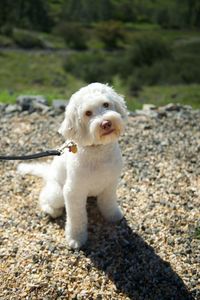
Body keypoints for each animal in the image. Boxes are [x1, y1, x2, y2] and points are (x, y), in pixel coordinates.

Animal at [18, 82, 128, 248]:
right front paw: (76, 238)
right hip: (57, 193)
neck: (98, 151)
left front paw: (113, 216)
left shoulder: (110, 184)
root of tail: (48, 173)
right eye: (88, 113)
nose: (106, 123)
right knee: (44, 198)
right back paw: (52, 210)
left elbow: (108, 203)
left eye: (106, 104)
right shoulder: (74, 192)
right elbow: (77, 217)